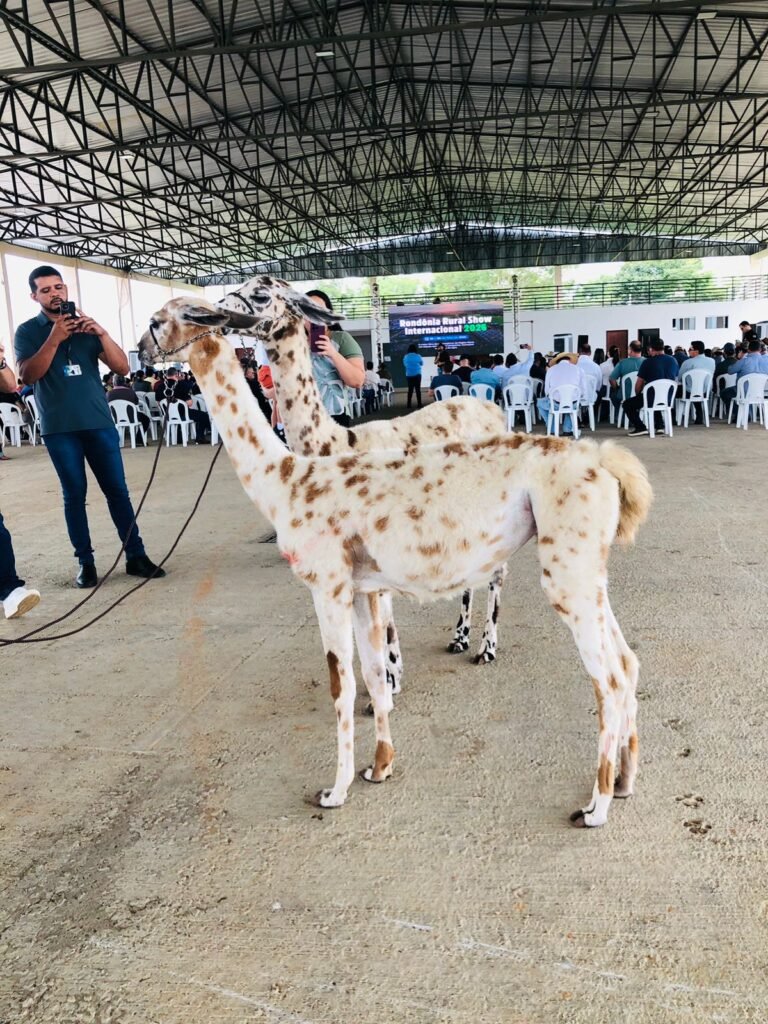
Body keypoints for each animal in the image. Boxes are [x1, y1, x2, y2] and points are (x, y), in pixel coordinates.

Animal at [218, 276, 509, 671]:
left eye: (261, 294)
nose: (218, 309)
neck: (337, 445)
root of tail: (494, 410)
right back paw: (459, 637)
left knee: (498, 570)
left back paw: (487, 646)